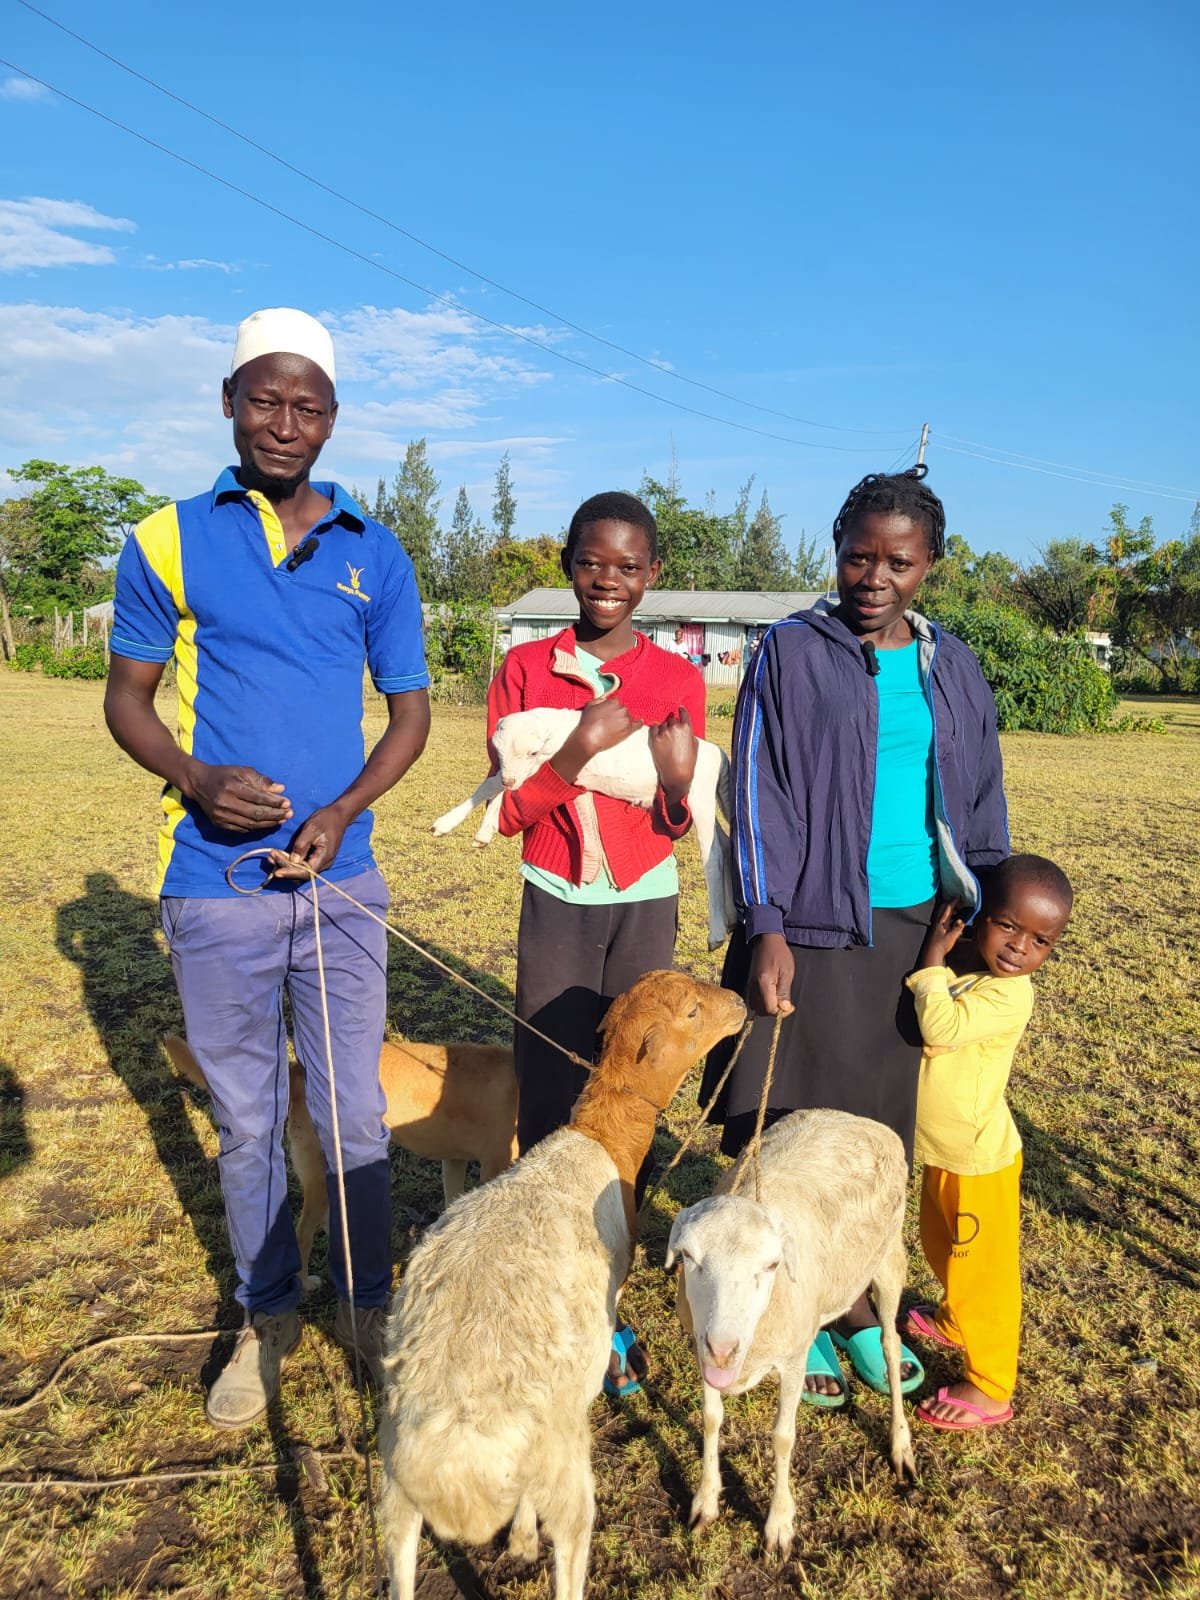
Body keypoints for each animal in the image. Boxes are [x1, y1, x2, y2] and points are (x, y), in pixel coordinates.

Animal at [162, 1033, 518, 1286]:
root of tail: (299, 1071)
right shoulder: (494, 1166)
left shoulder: (454, 1161)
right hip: (321, 1174)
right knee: (304, 1232)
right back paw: (305, 1283)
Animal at [378, 970, 747, 1600]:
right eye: (694, 1012)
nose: (744, 1003)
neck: (601, 1136)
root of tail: (453, 1460)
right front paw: (523, 1540)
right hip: (563, 1468)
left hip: (397, 1500)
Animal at [430, 706, 738, 950]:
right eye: (497, 749)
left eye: (532, 750)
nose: (510, 779)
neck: (556, 729)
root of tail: (718, 753)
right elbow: (496, 786)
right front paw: (476, 829)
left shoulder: (542, 764)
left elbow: (495, 787)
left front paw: (454, 824)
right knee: (725, 844)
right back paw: (732, 916)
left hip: (698, 793)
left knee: (713, 856)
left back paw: (716, 932)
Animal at [666, 1109, 916, 1560]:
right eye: (688, 1257)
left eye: (771, 1265)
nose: (724, 1348)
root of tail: (855, 1117)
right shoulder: (701, 1347)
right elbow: (711, 1419)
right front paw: (706, 1501)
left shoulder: (790, 1362)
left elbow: (783, 1438)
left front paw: (779, 1525)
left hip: (889, 1257)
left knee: (891, 1345)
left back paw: (900, 1444)